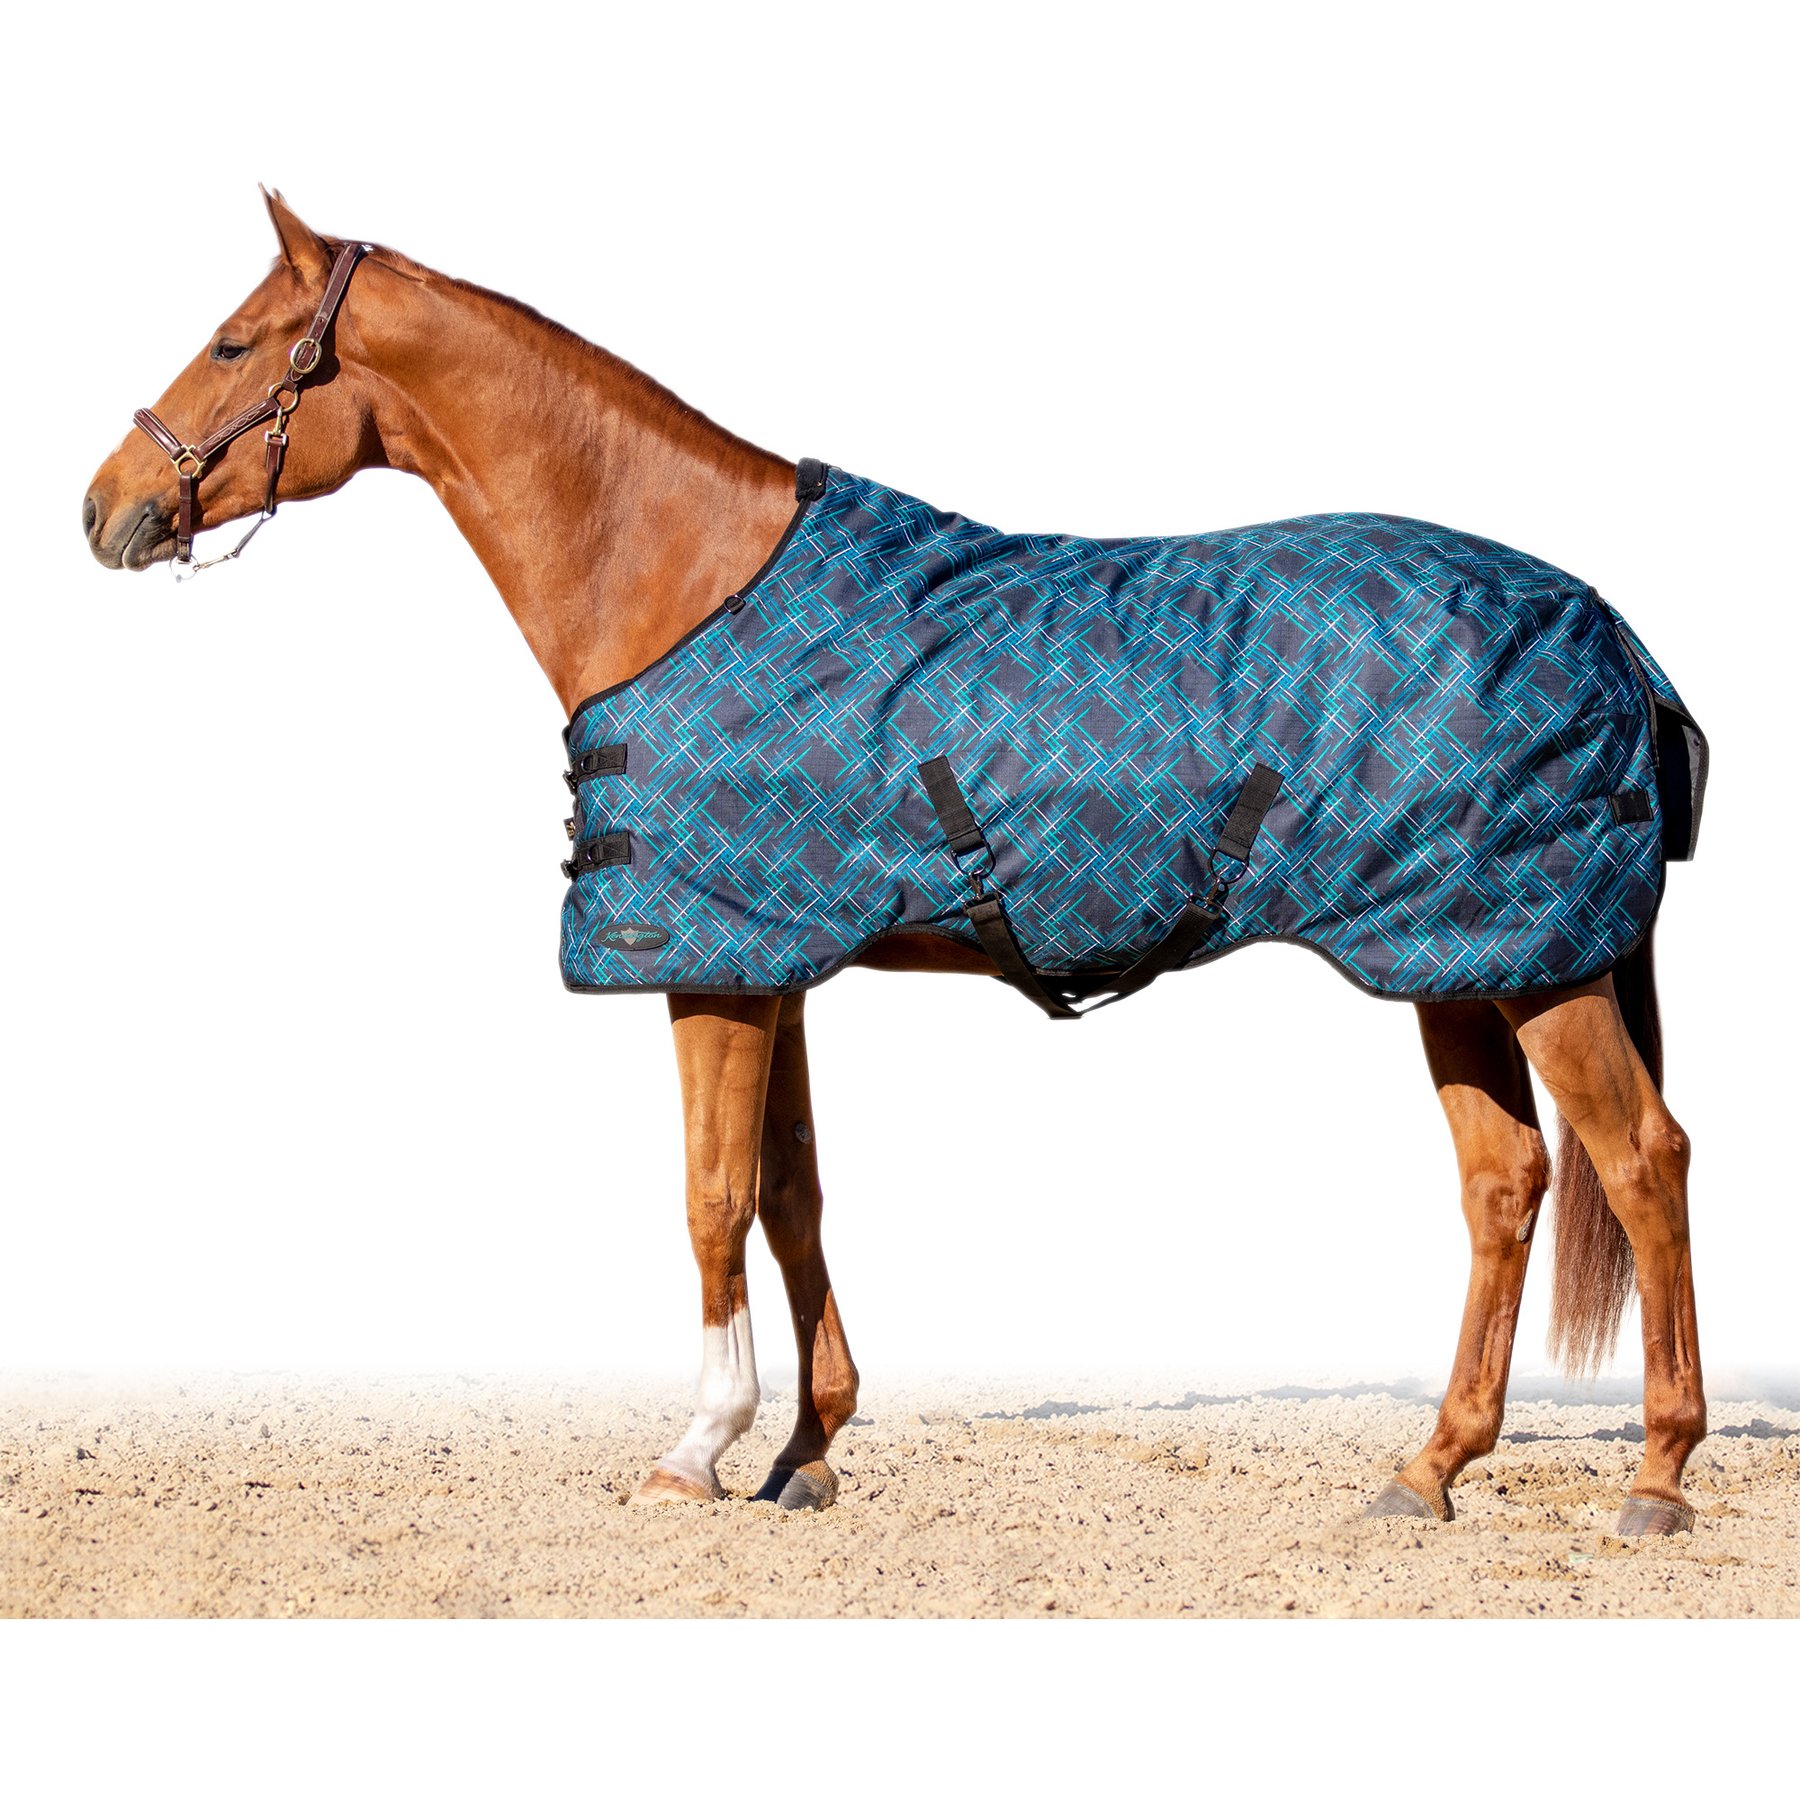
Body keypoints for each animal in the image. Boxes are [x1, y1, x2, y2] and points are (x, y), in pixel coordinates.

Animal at [82, 191, 1708, 1537]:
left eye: (235, 342)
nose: (103, 508)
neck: (677, 577)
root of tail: (1608, 623)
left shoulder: (711, 967)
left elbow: (710, 1196)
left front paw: (700, 1448)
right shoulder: (774, 961)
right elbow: (792, 1192)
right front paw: (808, 1452)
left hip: (1530, 961)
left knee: (1642, 1161)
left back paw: (1658, 1475)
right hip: (1457, 959)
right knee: (1506, 1183)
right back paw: (1431, 1467)